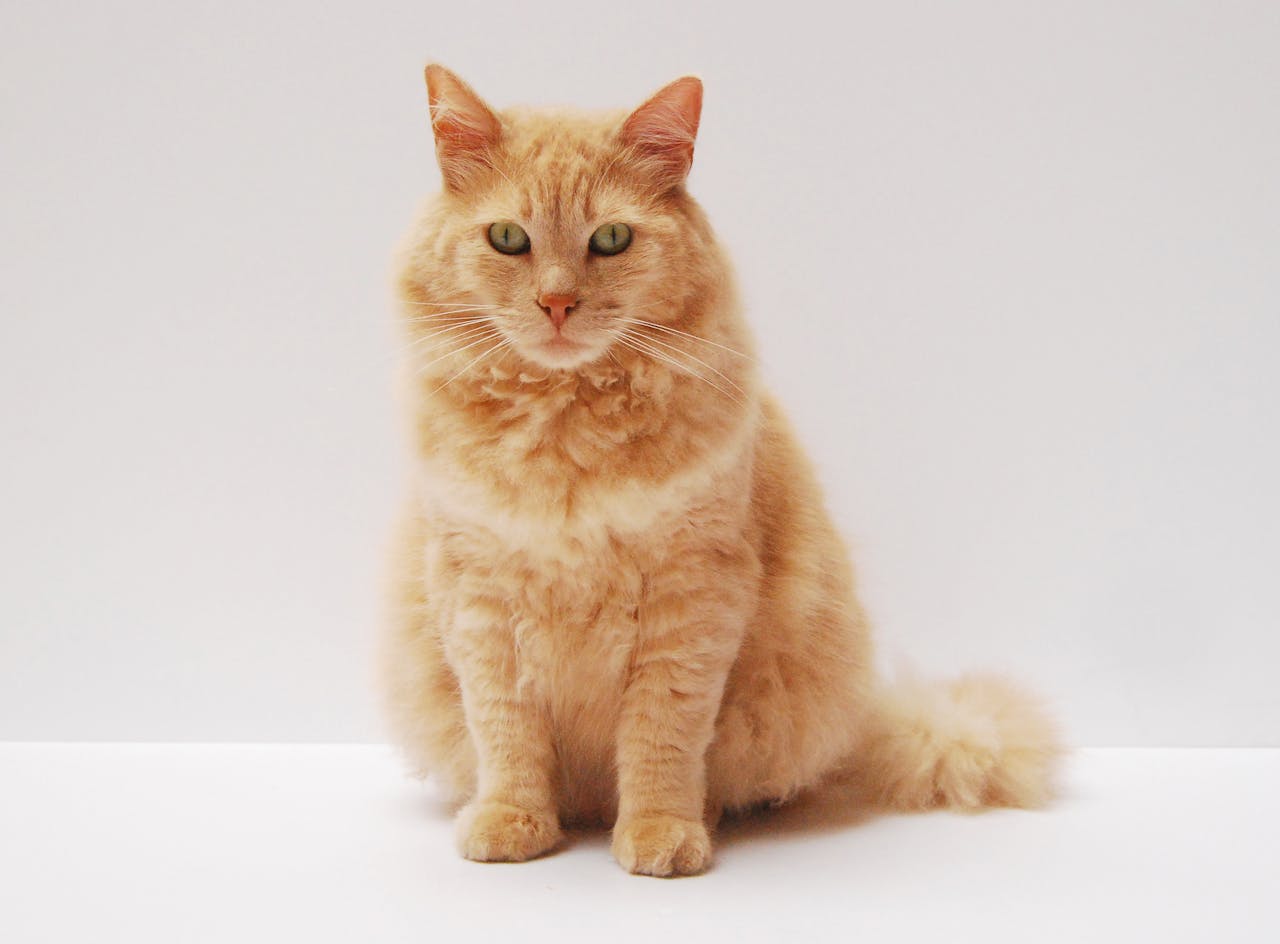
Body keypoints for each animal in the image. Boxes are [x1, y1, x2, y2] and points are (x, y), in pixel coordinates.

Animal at [381, 64, 1059, 874]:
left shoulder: (693, 595)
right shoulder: (476, 596)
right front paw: (511, 823)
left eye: (611, 239)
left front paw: (660, 835)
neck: (567, 428)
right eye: (508, 239)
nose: (557, 303)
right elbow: (506, 734)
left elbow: (661, 739)